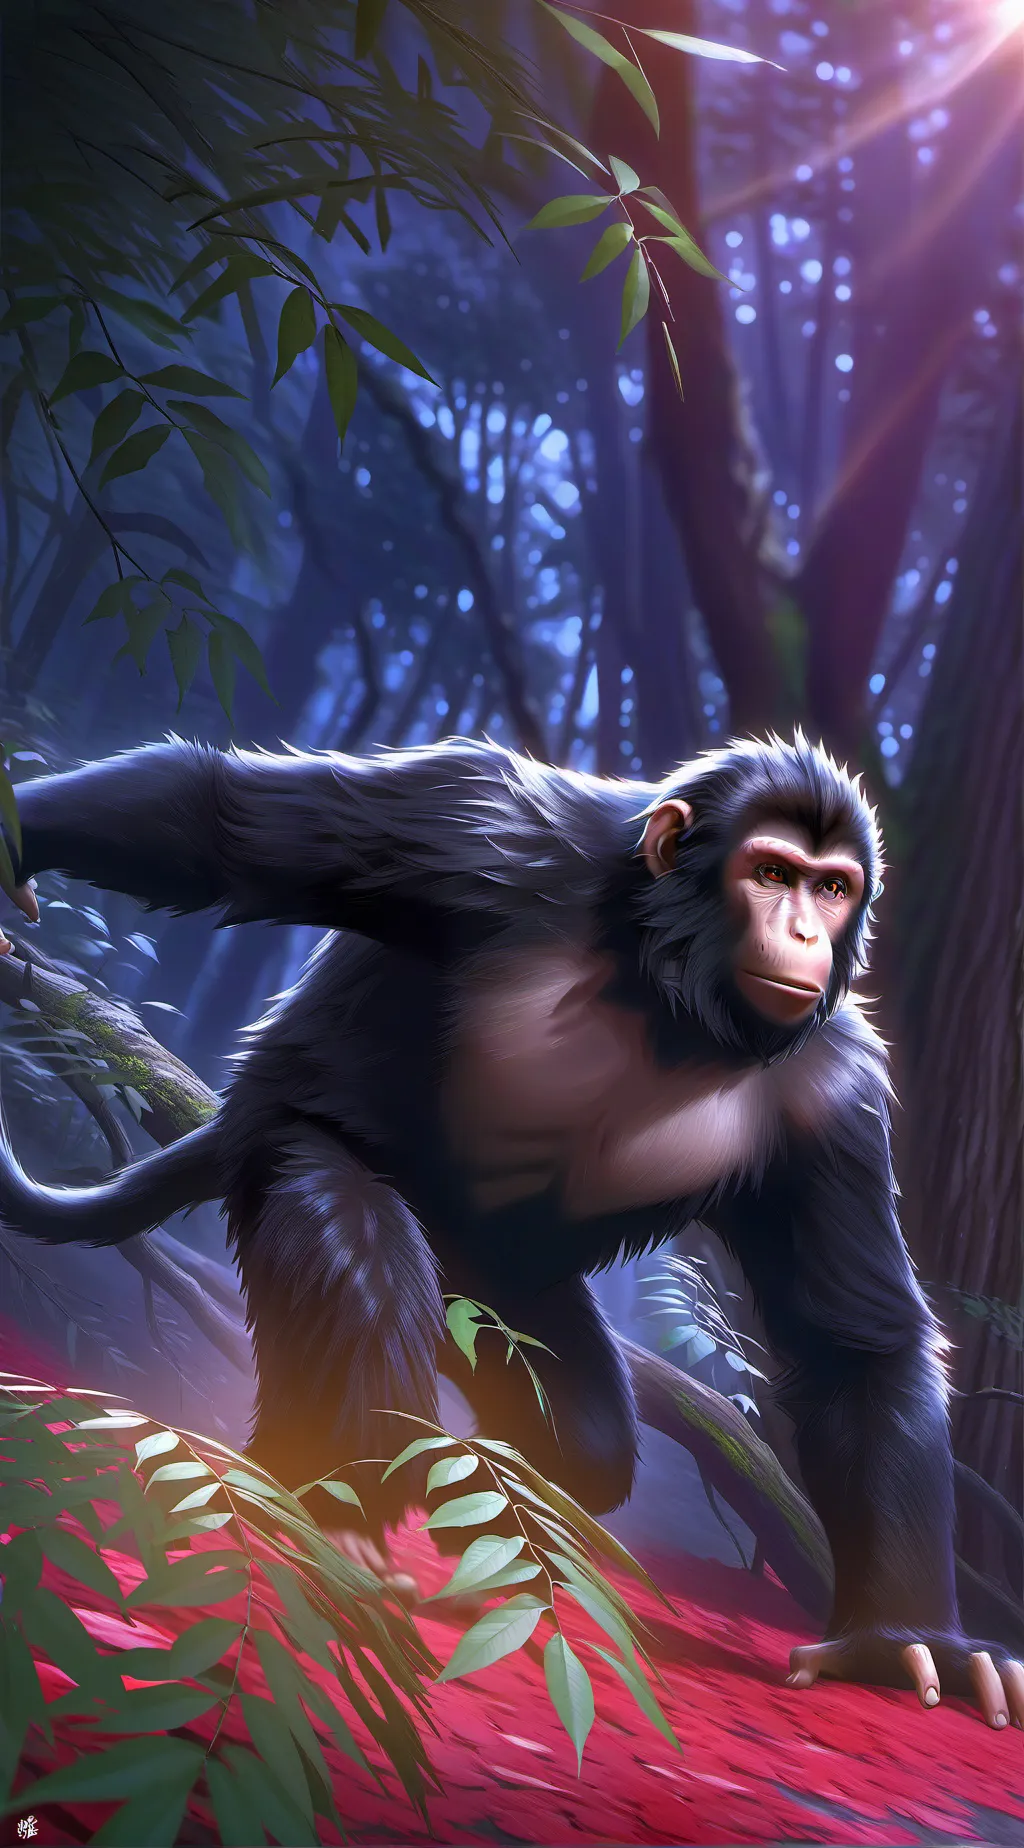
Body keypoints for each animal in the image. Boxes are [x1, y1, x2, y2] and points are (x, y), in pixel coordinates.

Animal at [0, 729, 1020, 1731]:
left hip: (504, 1289)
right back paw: (330, 1507)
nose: (807, 931)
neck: (665, 994)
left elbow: (854, 1345)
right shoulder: (485, 833)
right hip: (284, 1130)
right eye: (772, 873)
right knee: (358, 1257)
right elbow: (228, 828)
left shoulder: (834, 1094)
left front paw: (899, 1641)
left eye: (834, 887)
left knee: (589, 1441)